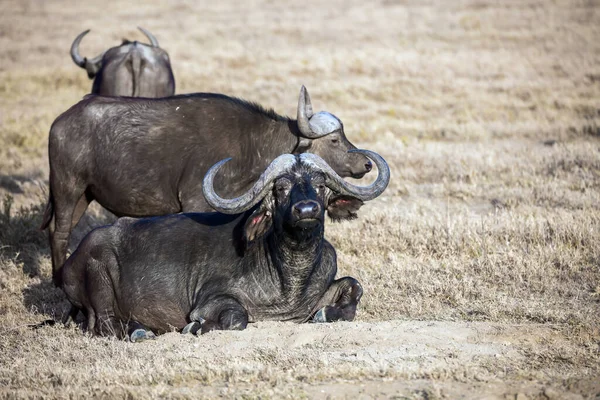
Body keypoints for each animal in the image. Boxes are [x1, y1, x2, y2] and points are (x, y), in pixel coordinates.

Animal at [42, 86, 372, 286]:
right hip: (67, 187)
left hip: (84, 195)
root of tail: (59, 123)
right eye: (334, 140)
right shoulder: (195, 203)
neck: (248, 145)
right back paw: (57, 281)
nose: (366, 164)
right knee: (59, 233)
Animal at [59, 150, 390, 340]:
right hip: (98, 276)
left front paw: (329, 313)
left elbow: (353, 287)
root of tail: (70, 263)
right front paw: (196, 328)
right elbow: (236, 317)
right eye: (281, 188)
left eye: (320, 185)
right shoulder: (210, 300)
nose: (307, 210)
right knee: (105, 325)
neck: (289, 276)